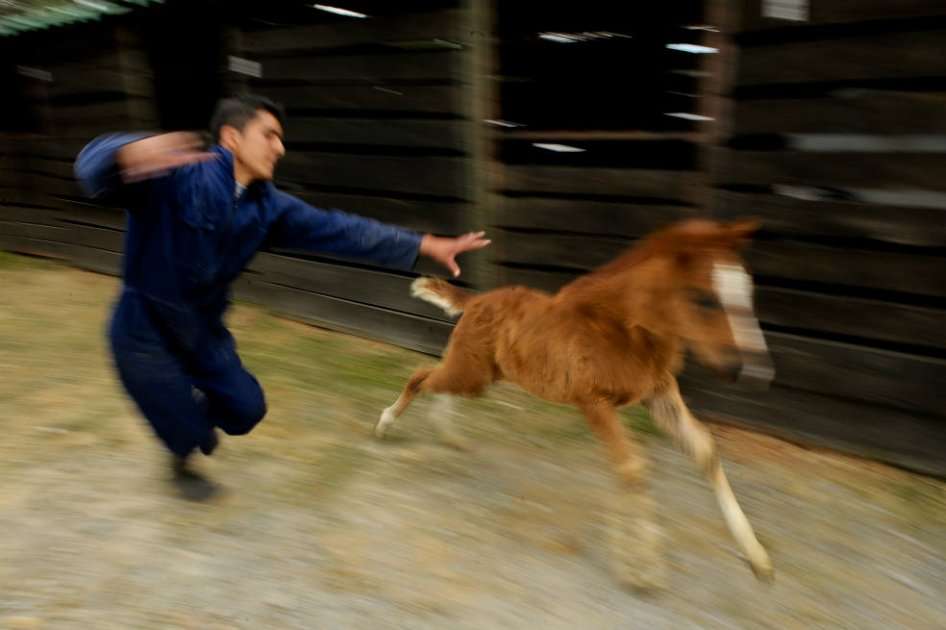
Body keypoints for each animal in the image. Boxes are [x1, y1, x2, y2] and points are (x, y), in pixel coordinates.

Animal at [375, 218, 775, 590]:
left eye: (748, 292)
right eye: (703, 299)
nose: (755, 371)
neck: (623, 326)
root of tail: (475, 301)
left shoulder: (659, 392)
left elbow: (704, 450)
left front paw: (758, 558)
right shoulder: (593, 401)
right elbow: (631, 468)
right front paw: (641, 569)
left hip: (479, 376)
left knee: (440, 384)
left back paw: (447, 434)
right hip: (471, 372)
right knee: (421, 376)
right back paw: (386, 425)